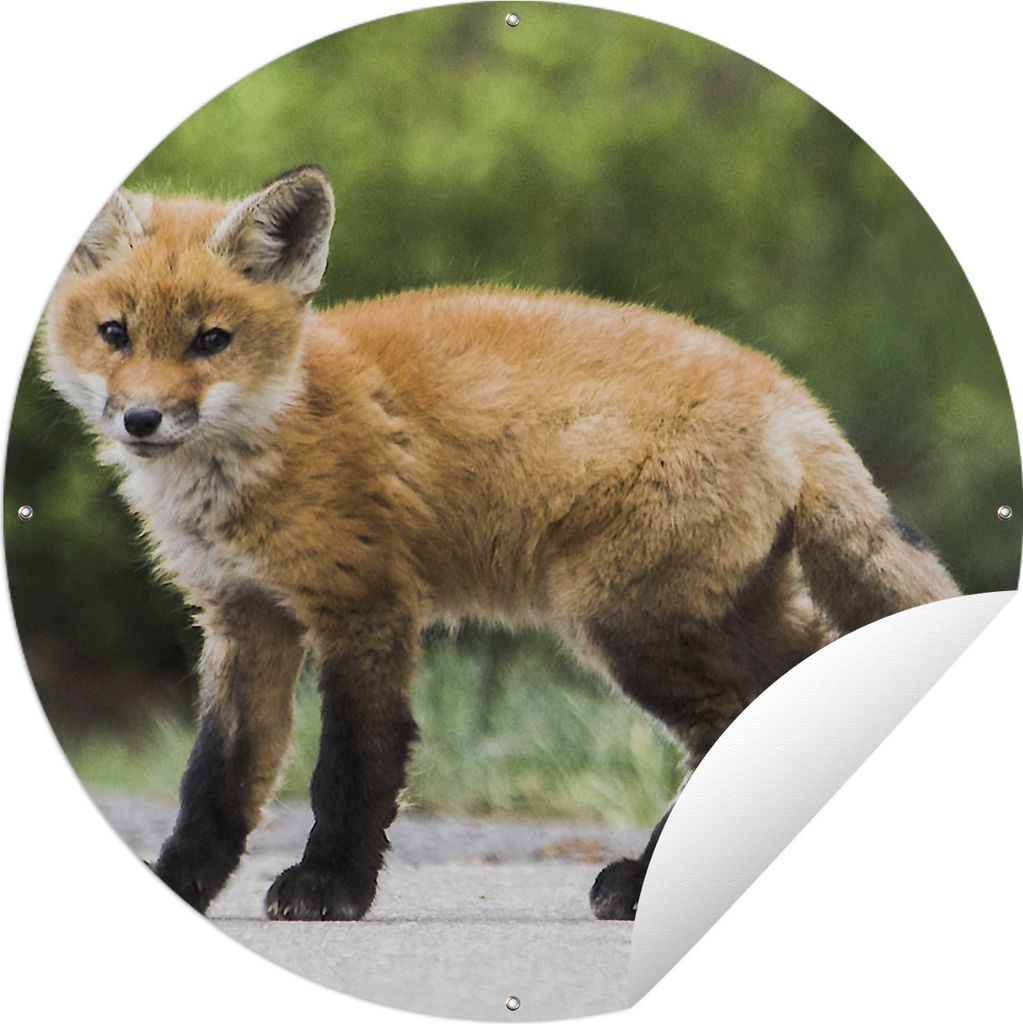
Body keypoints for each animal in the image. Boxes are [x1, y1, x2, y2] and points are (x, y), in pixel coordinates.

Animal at [43, 164, 959, 922]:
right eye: (116, 333)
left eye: (212, 340)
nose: (141, 419)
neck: (270, 438)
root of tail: (789, 393)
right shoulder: (244, 618)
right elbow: (217, 780)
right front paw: (177, 884)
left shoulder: (364, 605)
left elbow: (352, 767)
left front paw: (331, 884)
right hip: (726, 612)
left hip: (628, 623)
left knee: (733, 719)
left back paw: (647, 879)